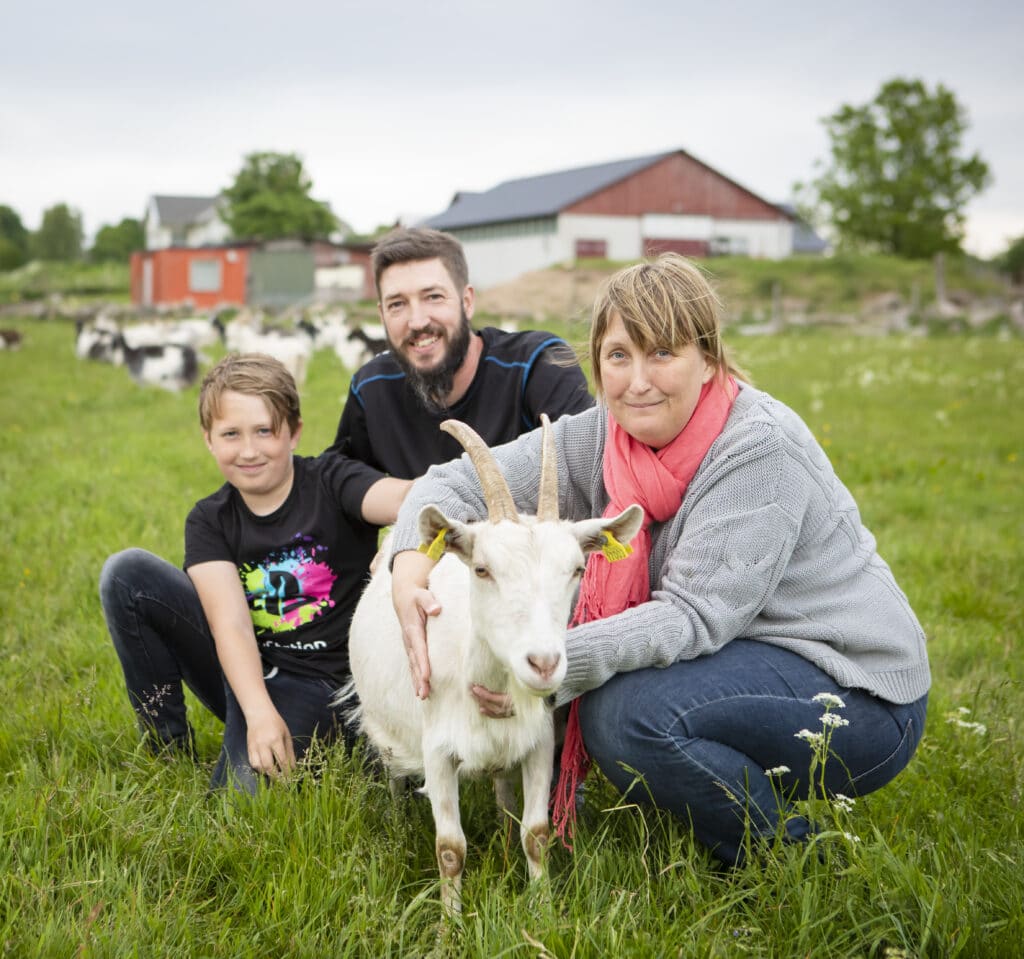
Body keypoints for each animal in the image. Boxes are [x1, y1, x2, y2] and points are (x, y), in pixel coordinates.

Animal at [339, 415, 643, 908]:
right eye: (482, 569)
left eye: (577, 570)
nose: (543, 663)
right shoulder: (437, 750)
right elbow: (450, 850)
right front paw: (451, 921)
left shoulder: (538, 742)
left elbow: (536, 834)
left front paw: (543, 910)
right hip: (386, 730)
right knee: (394, 774)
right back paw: (398, 821)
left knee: (503, 793)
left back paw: (502, 834)